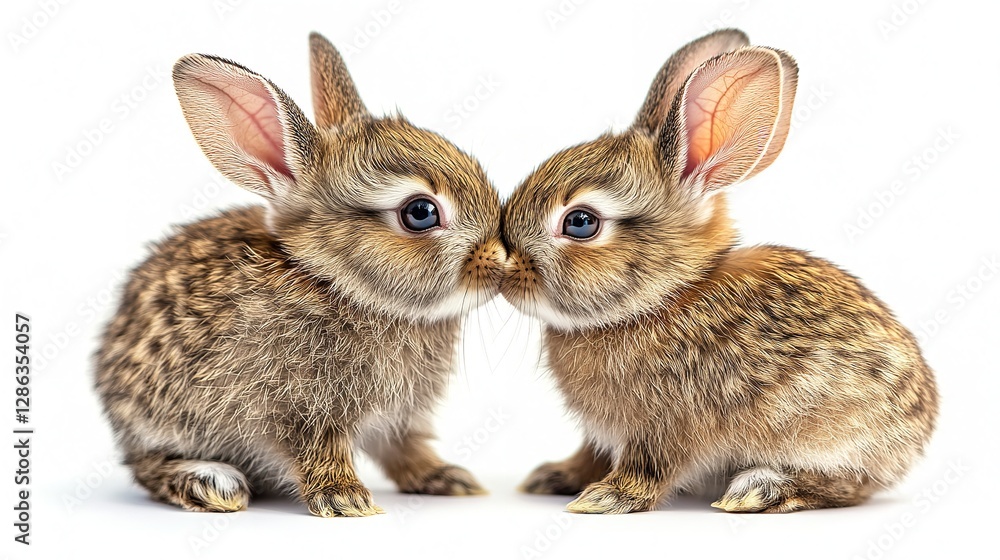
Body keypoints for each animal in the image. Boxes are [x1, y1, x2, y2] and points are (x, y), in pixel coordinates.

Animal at [94, 32, 505, 517]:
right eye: (420, 213)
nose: (500, 261)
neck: (335, 282)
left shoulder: (398, 418)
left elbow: (404, 449)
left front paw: (446, 478)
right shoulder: (299, 409)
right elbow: (318, 450)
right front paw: (345, 499)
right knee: (148, 465)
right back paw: (210, 483)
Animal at [499, 28, 938, 514]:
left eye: (580, 222)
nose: (505, 267)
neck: (664, 298)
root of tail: (920, 433)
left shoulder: (665, 426)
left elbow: (650, 467)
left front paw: (605, 498)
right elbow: (591, 454)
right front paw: (557, 476)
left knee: (847, 486)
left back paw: (759, 490)